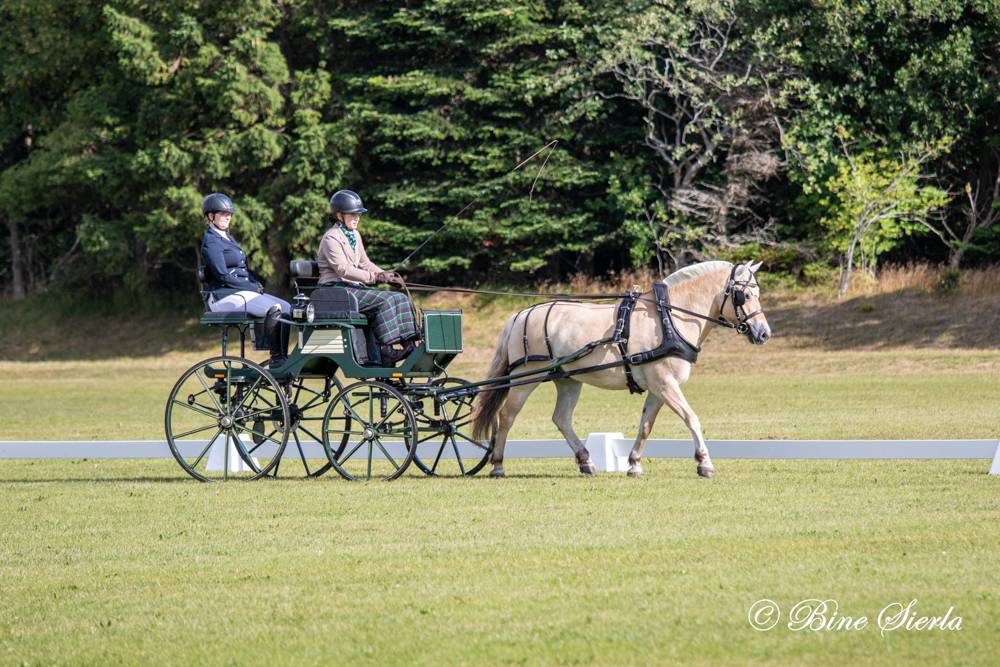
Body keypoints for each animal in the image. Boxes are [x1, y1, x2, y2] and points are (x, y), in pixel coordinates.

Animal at [474, 260, 772, 480]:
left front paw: (634, 464)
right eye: (744, 294)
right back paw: (498, 465)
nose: (764, 333)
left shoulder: (658, 387)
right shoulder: (665, 383)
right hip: (526, 377)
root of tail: (520, 315)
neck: (669, 318)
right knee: (506, 416)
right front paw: (705, 463)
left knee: (561, 418)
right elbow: (691, 418)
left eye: (758, 293)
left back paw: (586, 462)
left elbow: (646, 426)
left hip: (568, 380)